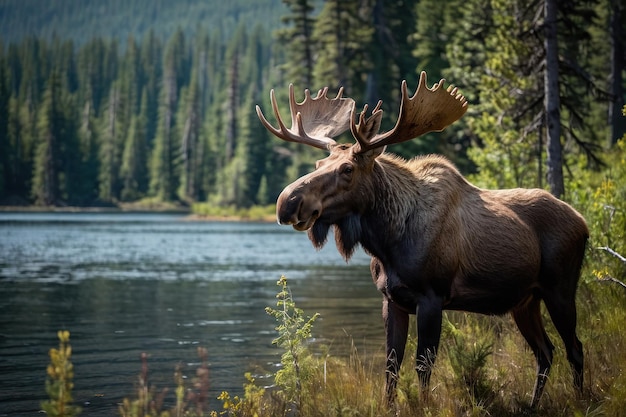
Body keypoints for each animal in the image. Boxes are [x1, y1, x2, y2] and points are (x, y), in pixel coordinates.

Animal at [256, 71, 588, 406]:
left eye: (347, 168)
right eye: (317, 165)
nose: (287, 202)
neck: (388, 242)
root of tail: (583, 222)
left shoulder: (432, 297)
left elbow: (423, 365)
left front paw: (426, 406)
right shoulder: (392, 300)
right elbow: (391, 365)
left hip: (560, 289)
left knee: (574, 348)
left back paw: (580, 401)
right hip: (524, 300)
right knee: (546, 352)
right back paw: (533, 406)